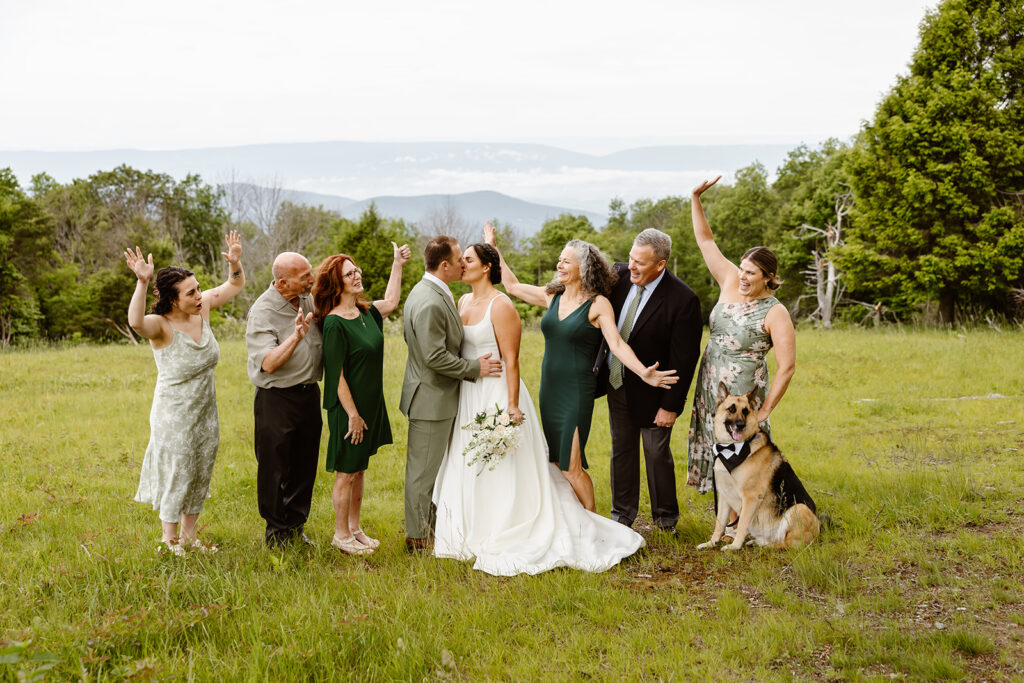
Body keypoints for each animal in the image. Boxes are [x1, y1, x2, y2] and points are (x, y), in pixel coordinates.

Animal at [696, 382, 823, 552]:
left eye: (745, 411)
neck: (732, 449)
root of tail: (819, 527)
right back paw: (757, 541)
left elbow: (742, 524)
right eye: (731, 409)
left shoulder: (750, 497)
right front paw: (711, 543)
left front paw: (734, 547)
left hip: (799, 508)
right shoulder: (723, 495)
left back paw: (762, 543)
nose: (740, 425)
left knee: (787, 544)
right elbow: (719, 524)